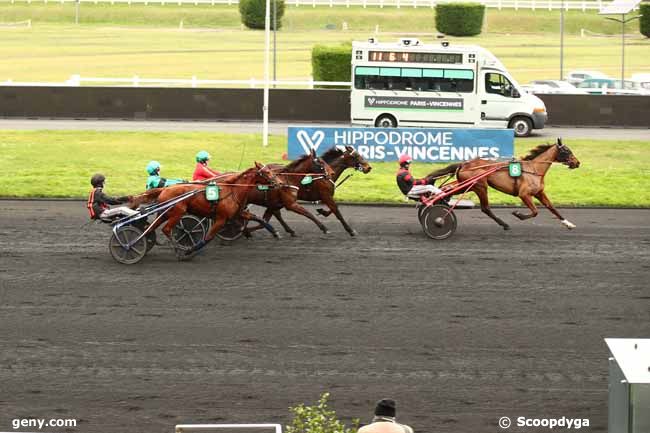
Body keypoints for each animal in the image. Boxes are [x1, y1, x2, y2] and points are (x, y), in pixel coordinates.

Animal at [130, 163, 282, 256]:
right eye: (267, 172)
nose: (280, 183)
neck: (233, 190)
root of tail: (165, 189)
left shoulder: (237, 213)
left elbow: (259, 219)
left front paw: (275, 233)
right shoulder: (221, 219)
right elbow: (208, 237)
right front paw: (190, 250)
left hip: (164, 213)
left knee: (150, 227)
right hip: (177, 213)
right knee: (166, 229)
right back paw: (178, 248)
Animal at [428, 138, 580, 230]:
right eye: (567, 151)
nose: (577, 163)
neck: (534, 169)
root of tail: (464, 164)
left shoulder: (539, 193)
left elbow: (552, 208)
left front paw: (568, 223)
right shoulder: (524, 194)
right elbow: (535, 211)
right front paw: (518, 214)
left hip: (467, 185)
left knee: (446, 189)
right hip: (479, 186)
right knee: (485, 208)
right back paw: (504, 224)